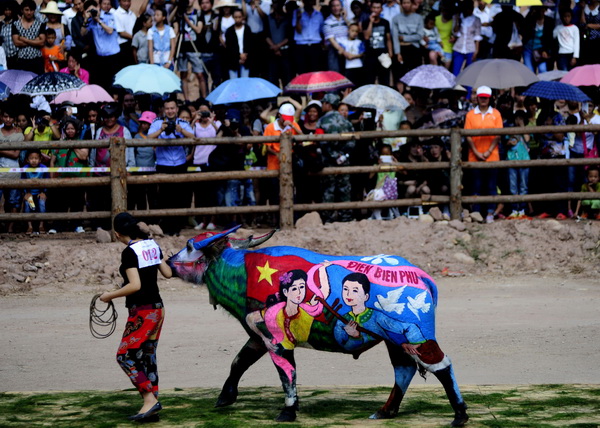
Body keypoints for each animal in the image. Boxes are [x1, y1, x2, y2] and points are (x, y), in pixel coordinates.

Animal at [168, 226, 468, 426]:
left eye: (189, 245)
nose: (169, 260)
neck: (242, 273)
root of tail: (422, 276)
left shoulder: (277, 342)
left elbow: (287, 375)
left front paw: (288, 411)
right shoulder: (257, 337)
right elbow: (238, 362)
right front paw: (225, 397)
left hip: (418, 337)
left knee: (442, 366)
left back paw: (460, 414)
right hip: (395, 340)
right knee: (404, 371)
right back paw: (385, 410)